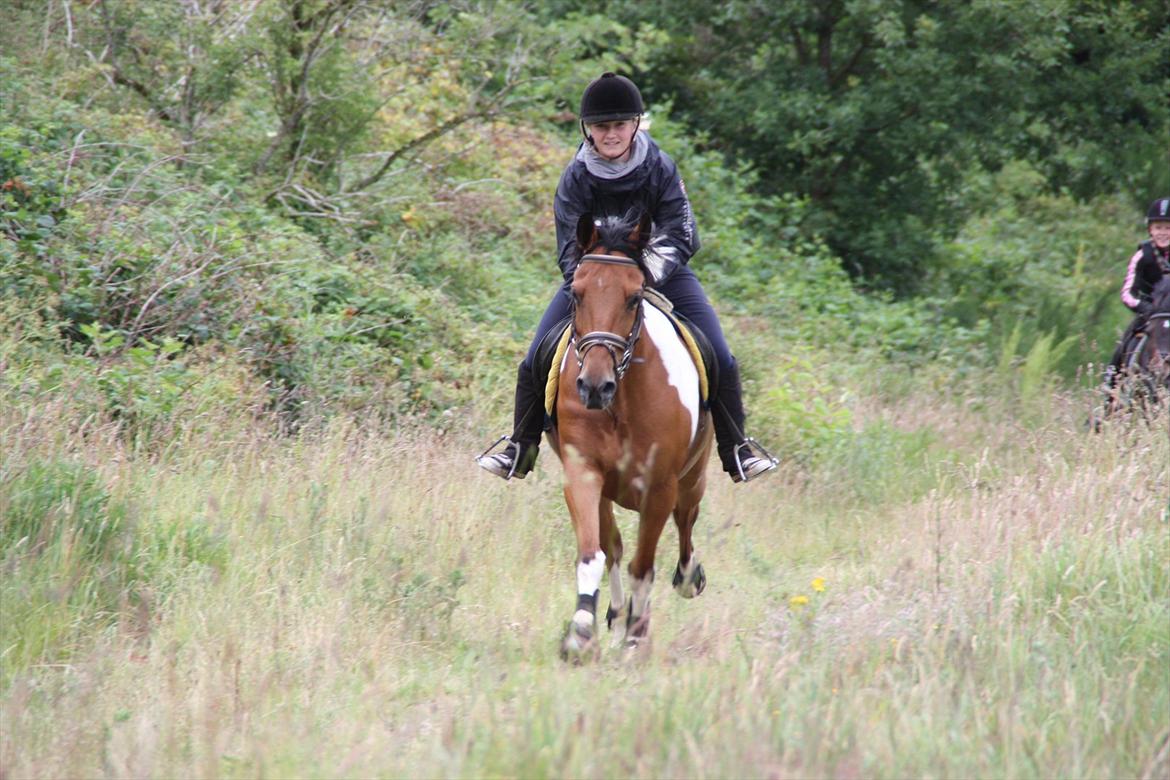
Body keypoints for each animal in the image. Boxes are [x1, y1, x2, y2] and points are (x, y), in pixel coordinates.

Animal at [547, 211, 711, 659]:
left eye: (634, 298)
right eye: (576, 295)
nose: (594, 387)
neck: (620, 403)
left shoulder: (659, 487)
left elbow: (644, 565)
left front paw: (637, 639)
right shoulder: (584, 473)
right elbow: (594, 553)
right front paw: (581, 631)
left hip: (693, 478)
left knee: (685, 523)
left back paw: (685, 580)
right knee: (615, 547)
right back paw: (616, 615)